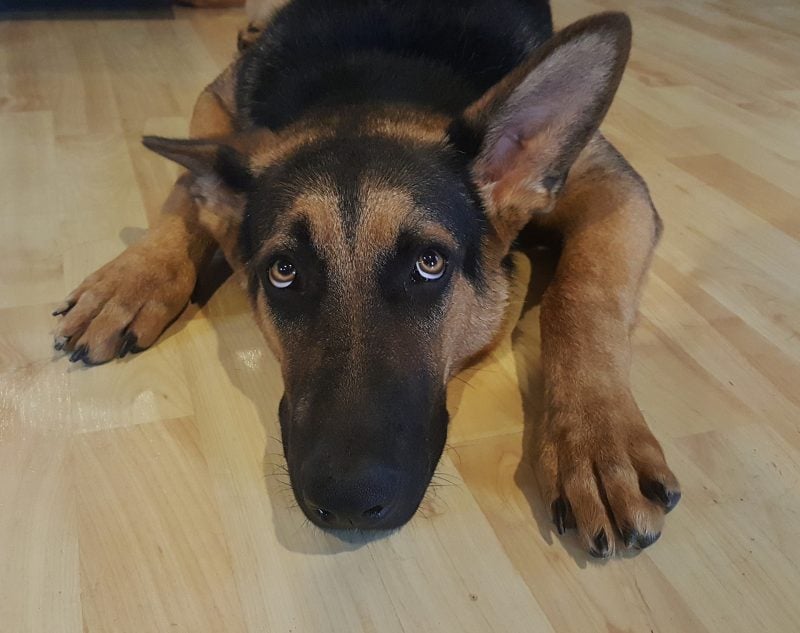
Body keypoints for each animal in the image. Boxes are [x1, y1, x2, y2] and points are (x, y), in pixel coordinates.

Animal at [54, 0, 680, 556]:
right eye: (284, 271)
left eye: (430, 264)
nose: (351, 502)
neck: (370, 87)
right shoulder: (216, 104)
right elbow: (189, 191)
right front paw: (130, 279)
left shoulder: (610, 184)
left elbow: (581, 296)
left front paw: (596, 440)